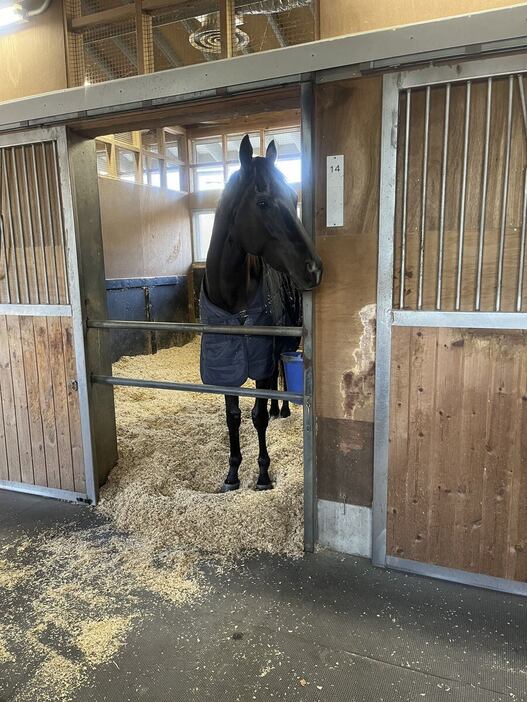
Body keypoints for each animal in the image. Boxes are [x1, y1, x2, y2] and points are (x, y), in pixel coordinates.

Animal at [199, 135, 322, 492]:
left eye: (294, 198)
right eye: (263, 202)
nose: (314, 269)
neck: (233, 300)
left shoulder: (262, 357)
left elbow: (258, 415)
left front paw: (264, 475)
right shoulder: (225, 365)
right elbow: (234, 417)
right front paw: (231, 475)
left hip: (286, 344)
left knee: (280, 373)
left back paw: (284, 409)